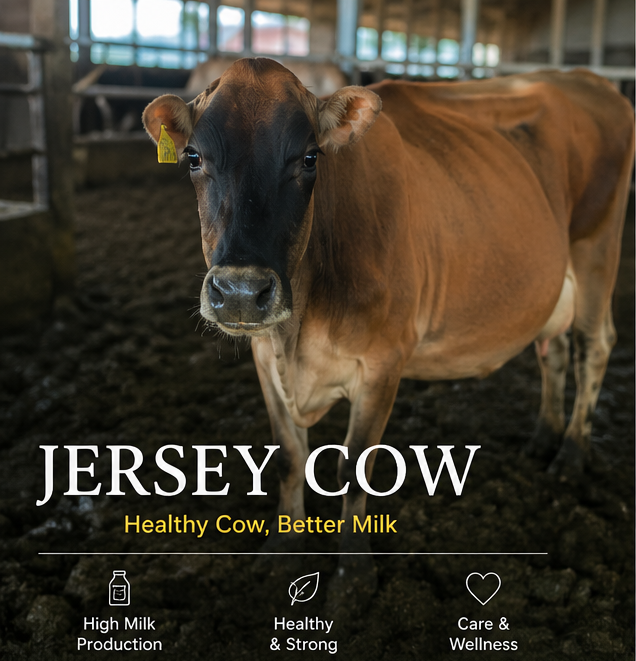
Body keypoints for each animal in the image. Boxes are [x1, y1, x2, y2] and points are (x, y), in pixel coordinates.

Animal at [143, 58, 634, 605]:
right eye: (192, 157)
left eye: (309, 158)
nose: (242, 292)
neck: (300, 332)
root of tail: (581, 76)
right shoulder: (265, 356)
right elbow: (290, 457)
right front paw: (282, 549)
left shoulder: (383, 361)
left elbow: (354, 467)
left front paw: (354, 573)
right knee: (554, 346)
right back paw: (544, 437)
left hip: (597, 253)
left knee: (594, 345)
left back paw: (570, 452)